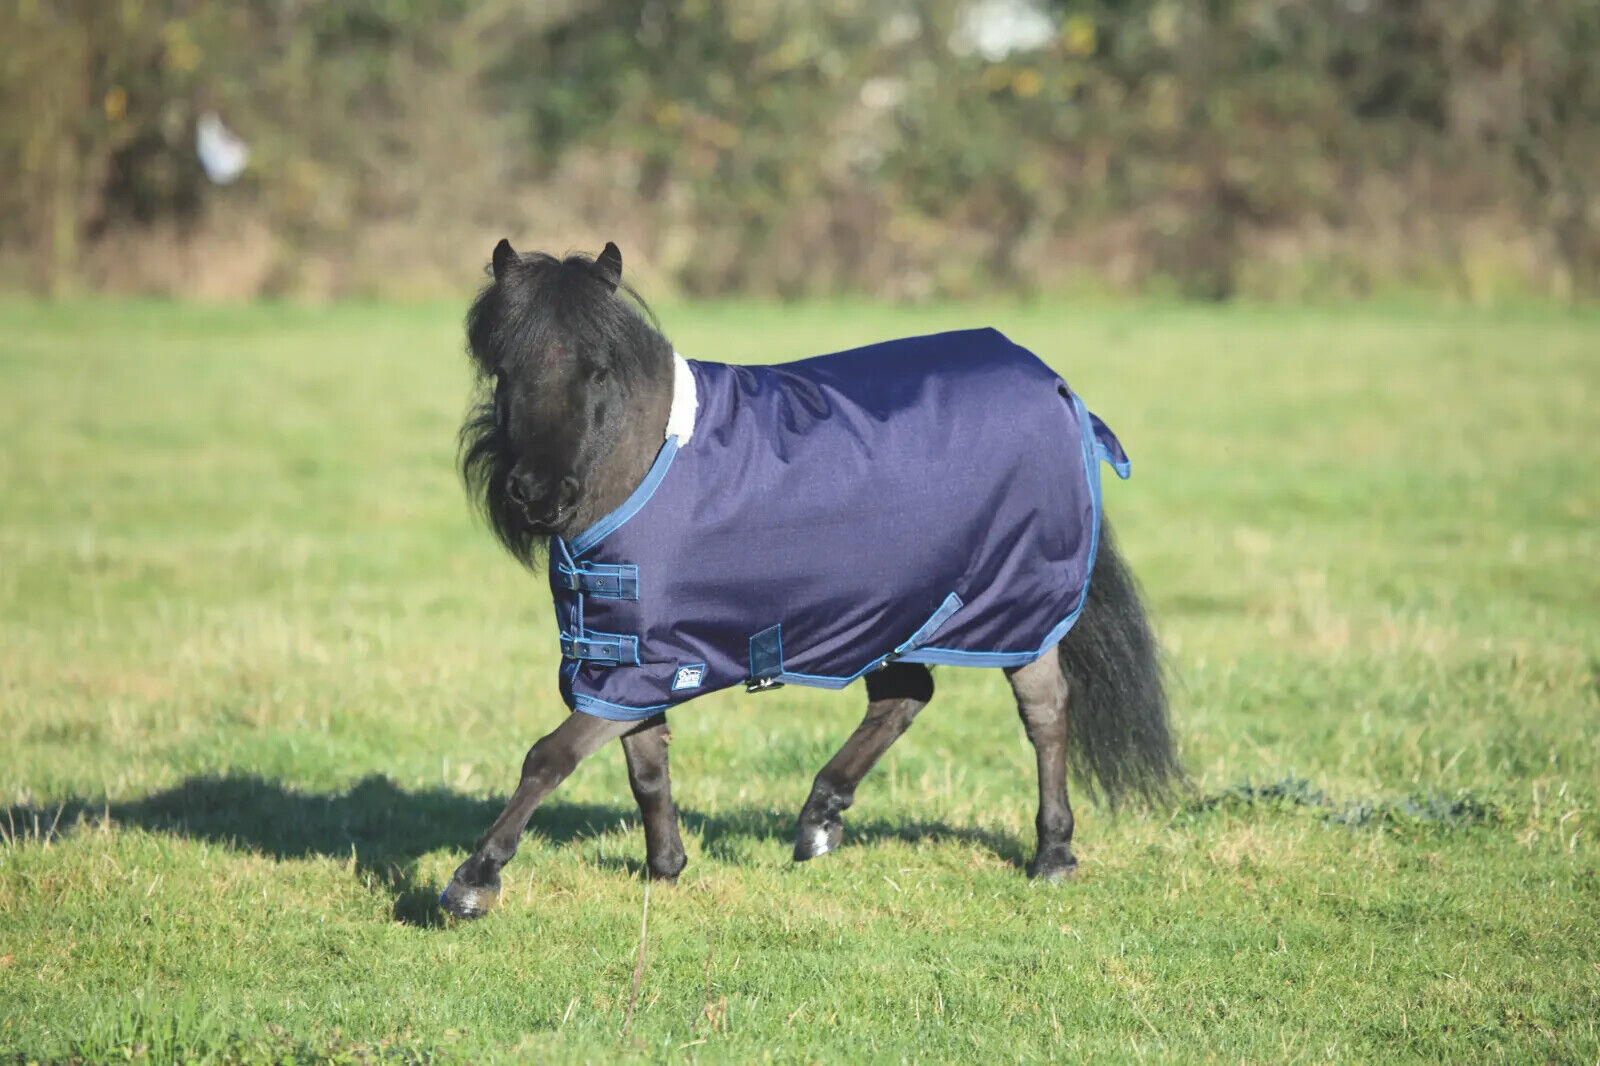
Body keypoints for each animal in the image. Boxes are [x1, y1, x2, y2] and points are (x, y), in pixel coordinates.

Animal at [439, 239, 1180, 920]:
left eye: (597, 372)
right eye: (504, 370)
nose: (538, 495)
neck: (650, 461)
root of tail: (1057, 386)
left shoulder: (639, 664)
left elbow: (550, 757)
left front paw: (474, 879)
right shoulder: (625, 655)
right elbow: (644, 766)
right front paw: (666, 868)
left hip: (1016, 607)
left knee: (1045, 712)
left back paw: (1053, 852)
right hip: (898, 608)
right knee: (905, 697)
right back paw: (820, 818)